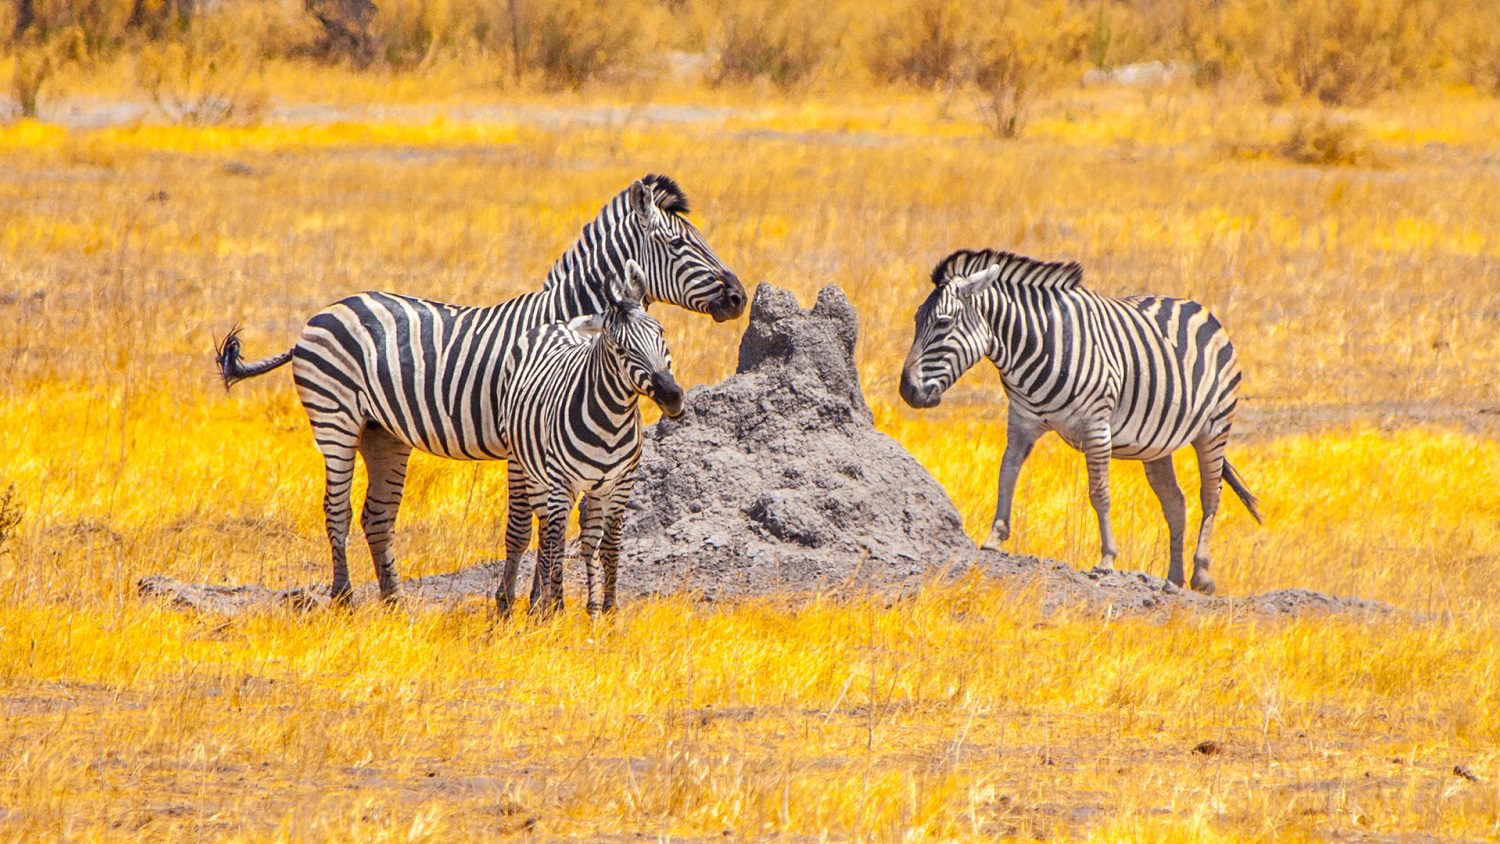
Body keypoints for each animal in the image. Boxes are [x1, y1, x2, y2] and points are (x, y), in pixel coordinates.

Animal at [492, 260, 681, 617]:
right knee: (527, 531)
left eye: (661, 333)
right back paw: (512, 606)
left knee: (580, 535)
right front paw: (556, 610)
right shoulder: (562, 481)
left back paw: (572, 605)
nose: (673, 396)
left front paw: (607, 610)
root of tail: (554, 325)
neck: (612, 420)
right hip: (523, 466)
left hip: (588, 486)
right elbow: (556, 543)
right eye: (621, 348)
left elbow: (609, 545)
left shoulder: (621, 484)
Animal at [894, 250, 1260, 593]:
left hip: (1215, 426)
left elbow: (1099, 493)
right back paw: (1173, 579)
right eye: (916, 319)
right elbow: (1006, 474)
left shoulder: (1096, 426)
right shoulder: (1021, 421)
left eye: (943, 323)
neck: (1032, 347)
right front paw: (994, 538)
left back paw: (1201, 575)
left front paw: (1107, 559)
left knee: (1210, 494)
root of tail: (1196, 305)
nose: (907, 391)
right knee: (1175, 501)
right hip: (1157, 443)